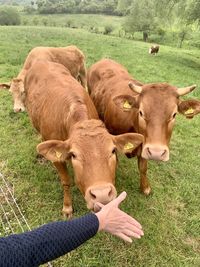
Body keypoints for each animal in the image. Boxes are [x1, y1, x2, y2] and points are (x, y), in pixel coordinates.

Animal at [24, 60, 144, 218]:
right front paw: (67, 207)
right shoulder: (57, 159)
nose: (101, 195)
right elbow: (66, 181)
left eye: (113, 151)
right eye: (74, 155)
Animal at [87, 59, 200, 196]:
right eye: (141, 112)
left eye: (174, 114)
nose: (157, 153)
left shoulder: (144, 145)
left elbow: (143, 167)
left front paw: (145, 187)